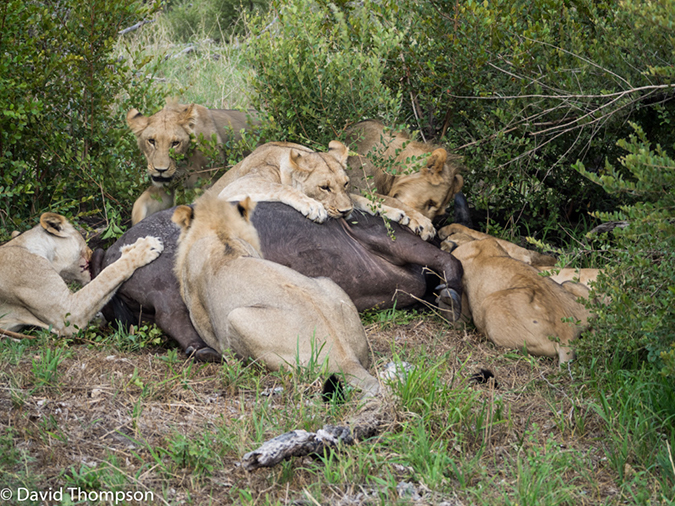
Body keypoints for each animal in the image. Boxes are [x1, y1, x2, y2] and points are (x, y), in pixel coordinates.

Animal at [125, 100, 260, 224]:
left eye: (175, 143)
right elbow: (138, 205)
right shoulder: (166, 187)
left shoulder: (208, 184)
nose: (160, 170)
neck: (183, 165)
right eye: (151, 141)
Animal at [206, 141, 354, 222]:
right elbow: (280, 187)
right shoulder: (234, 186)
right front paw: (313, 206)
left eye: (346, 184)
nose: (346, 211)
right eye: (324, 187)